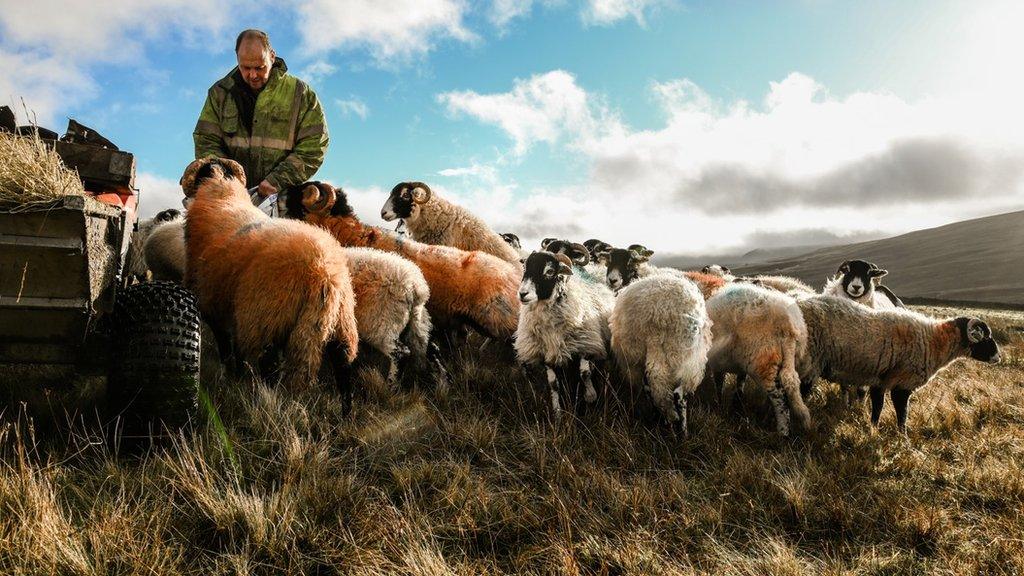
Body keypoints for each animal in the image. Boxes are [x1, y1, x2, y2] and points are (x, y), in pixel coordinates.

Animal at [180, 157, 360, 407]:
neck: (222, 194)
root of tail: (323, 274)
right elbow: (236, 349)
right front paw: (236, 376)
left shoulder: (212, 304)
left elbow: (226, 348)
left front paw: (229, 376)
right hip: (342, 327)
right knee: (345, 380)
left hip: (266, 320)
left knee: (271, 374)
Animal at [516, 249, 610, 414]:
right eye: (525, 268)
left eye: (550, 271)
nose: (522, 294)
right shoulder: (546, 353)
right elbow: (554, 384)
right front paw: (557, 412)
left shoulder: (585, 343)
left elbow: (584, 373)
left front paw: (590, 396)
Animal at [700, 282, 811, 434]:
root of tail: (787, 325)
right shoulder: (736, 365)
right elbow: (738, 384)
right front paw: (736, 404)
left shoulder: (717, 363)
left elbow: (719, 385)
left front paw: (719, 407)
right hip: (789, 359)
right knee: (790, 383)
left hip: (763, 362)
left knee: (779, 397)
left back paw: (782, 431)